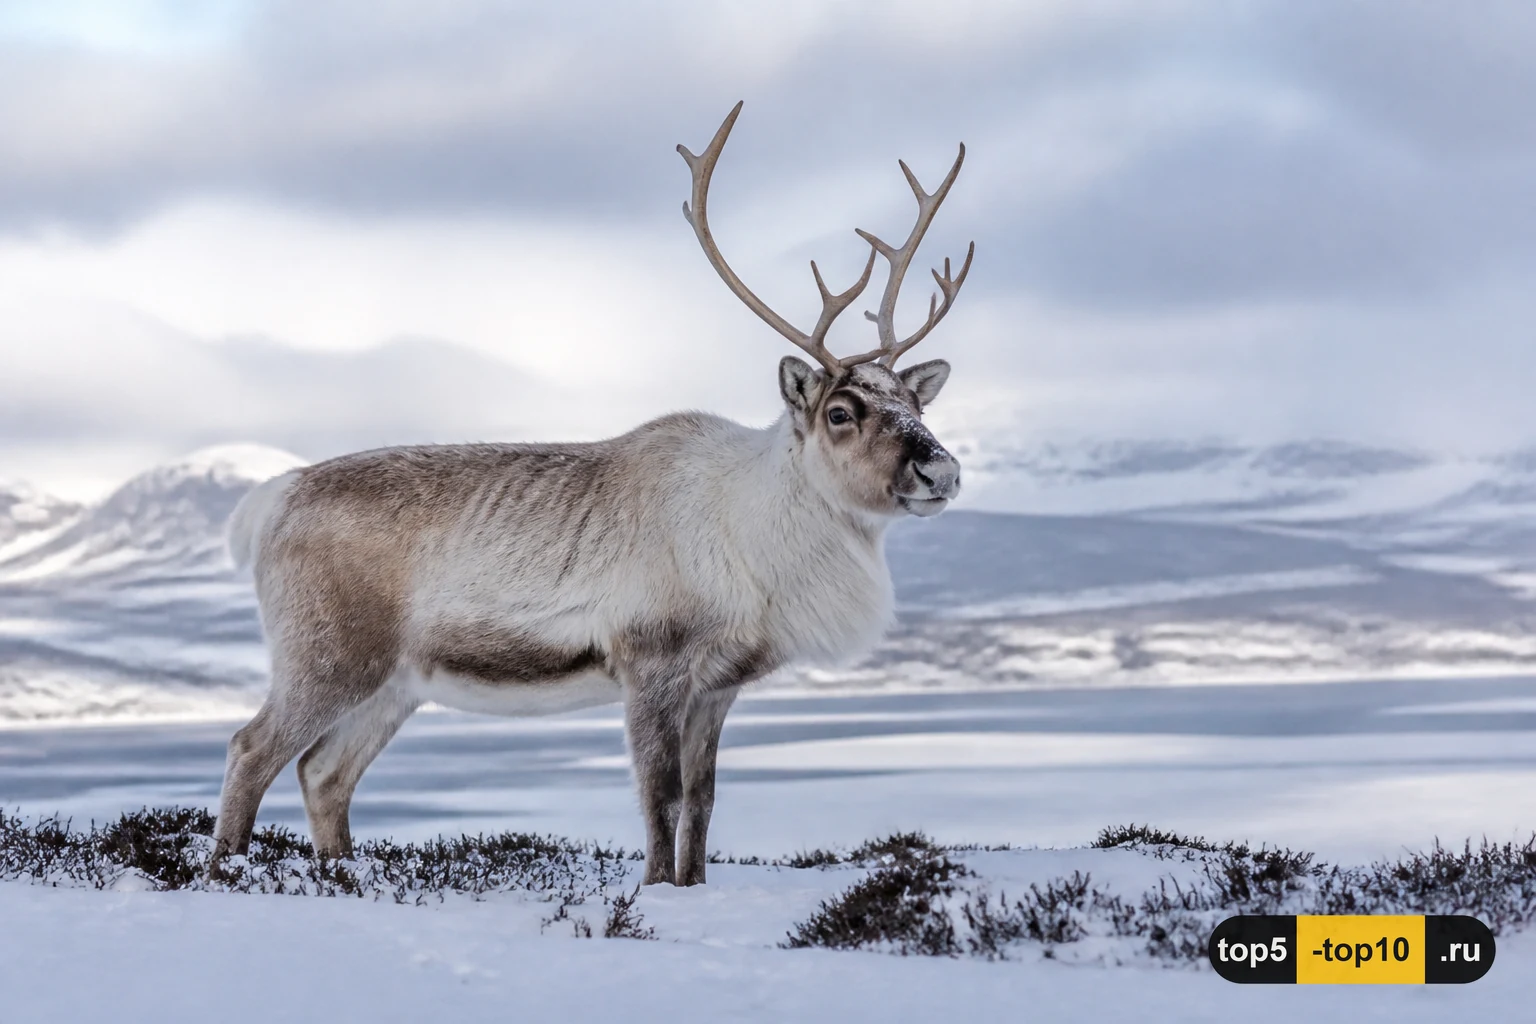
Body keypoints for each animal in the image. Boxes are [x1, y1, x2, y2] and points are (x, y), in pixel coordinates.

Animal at [213, 102, 973, 886]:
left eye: (917, 404)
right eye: (841, 412)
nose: (941, 472)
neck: (755, 533)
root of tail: (271, 500)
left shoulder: (718, 686)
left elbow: (703, 804)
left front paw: (693, 889)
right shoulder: (651, 664)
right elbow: (660, 797)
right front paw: (655, 891)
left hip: (394, 684)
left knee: (323, 773)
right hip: (326, 657)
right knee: (251, 749)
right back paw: (224, 876)